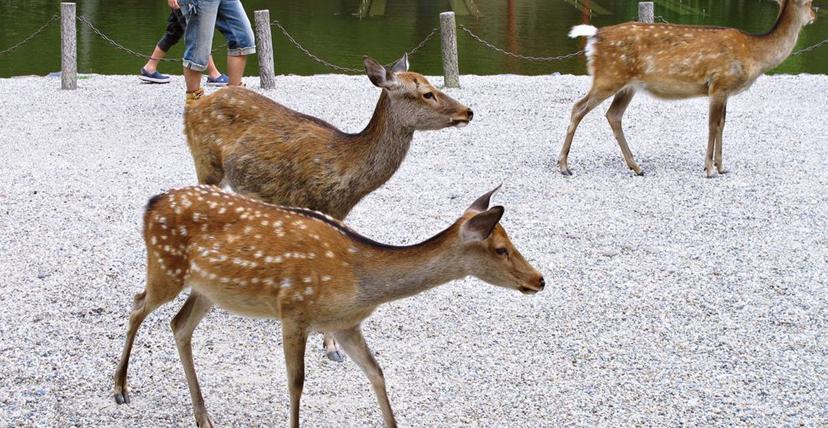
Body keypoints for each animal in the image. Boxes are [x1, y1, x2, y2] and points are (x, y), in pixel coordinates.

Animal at [112, 184, 544, 428]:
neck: (360, 282)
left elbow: (376, 373)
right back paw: (120, 390)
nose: (539, 279)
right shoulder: (294, 309)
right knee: (137, 304)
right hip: (166, 267)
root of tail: (151, 204)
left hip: (208, 290)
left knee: (178, 325)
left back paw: (204, 416)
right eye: (501, 248)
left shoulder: (345, 324)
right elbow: (296, 382)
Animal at [184, 54, 473, 361]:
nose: (468, 112)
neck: (346, 175)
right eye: (427, 93)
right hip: (205, 165)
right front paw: (332, 346)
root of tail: (193, 108)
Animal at [559, 0, 816, 177]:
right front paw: (709, 169)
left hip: (627, 85)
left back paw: (637, 166)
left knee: (613, 115)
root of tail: (594, 36)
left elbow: (723, 124)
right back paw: (564, 166)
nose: (814, 15)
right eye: (810, 2)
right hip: (608, 77)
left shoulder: (725, 91)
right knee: (578, 108)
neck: (756, 55)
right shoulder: (719, 84)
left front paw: (721, 167)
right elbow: (713, 125)